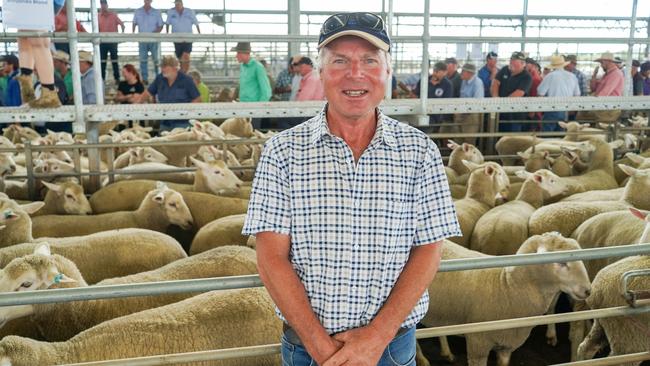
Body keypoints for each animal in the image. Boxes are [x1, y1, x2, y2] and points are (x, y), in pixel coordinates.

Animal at [418, 233, 588, 364]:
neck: (506, 286)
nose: (587, 290)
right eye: (562, 262)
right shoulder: (477, 343)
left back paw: (446, 353)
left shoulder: (506, 346)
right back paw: (423, 360)